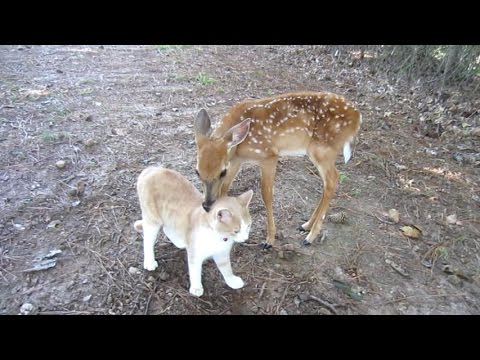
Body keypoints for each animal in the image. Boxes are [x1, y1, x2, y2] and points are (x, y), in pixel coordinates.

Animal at [133, 166, 253, 296]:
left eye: (248, 226)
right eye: (236, 231)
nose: (245, 238)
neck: (218, 236)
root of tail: (152, 168)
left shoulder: (222, 254)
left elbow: (227, 269)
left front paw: (232, 281)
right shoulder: (195, 254)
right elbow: (195, 271)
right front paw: (196, 287)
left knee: (167, 227)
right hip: (152, 221)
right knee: (148, 241)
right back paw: (149, 262)